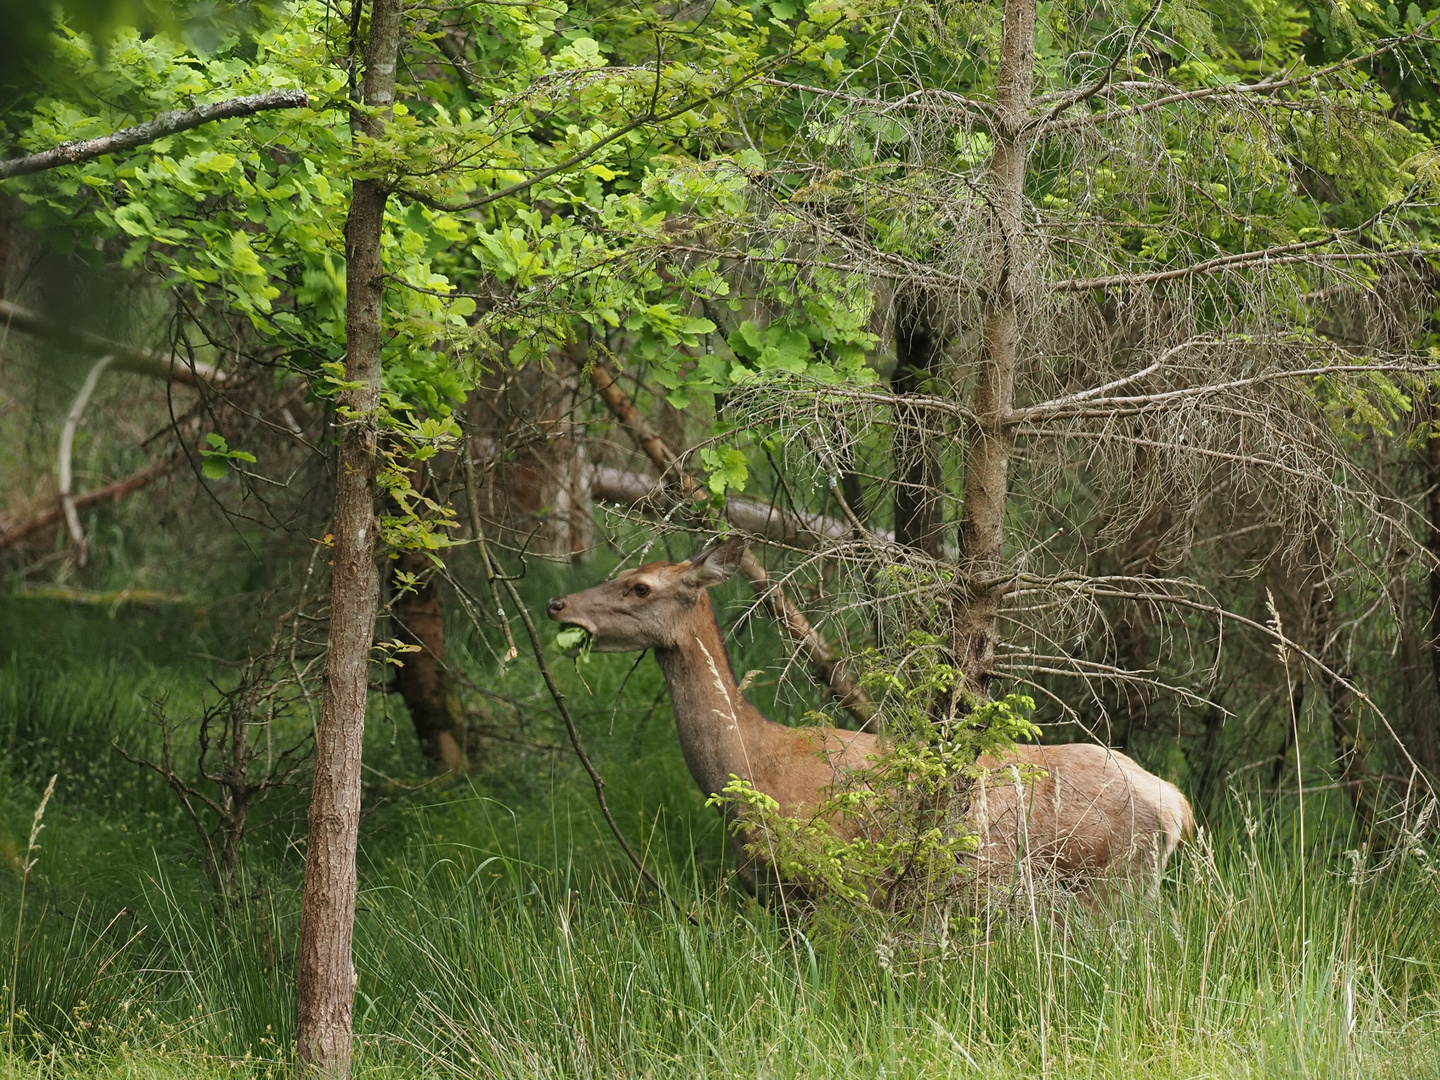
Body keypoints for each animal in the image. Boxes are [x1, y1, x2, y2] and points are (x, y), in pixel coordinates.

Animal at [544, 538, 1198, 898]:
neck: (753, 767)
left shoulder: (831, 880)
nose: (557, 603)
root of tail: (1176, 804)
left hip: (1113, 880)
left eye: (639, 586)